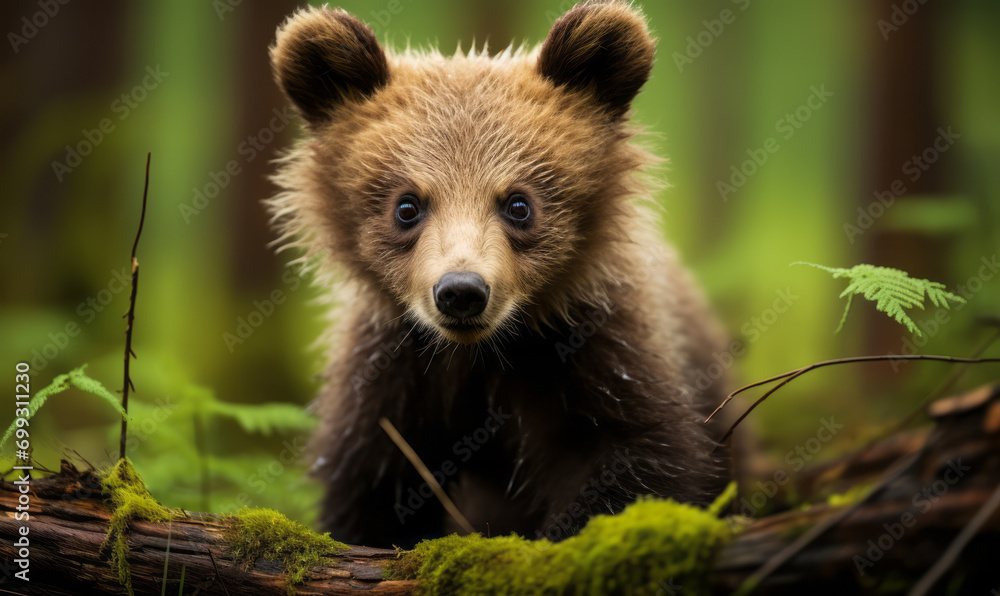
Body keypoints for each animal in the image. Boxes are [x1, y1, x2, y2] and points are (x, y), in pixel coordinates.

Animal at [268, 0, 730, 548]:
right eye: (407, 205)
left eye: (518, 203)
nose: (461, 291)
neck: (483, 358)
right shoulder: (395, 377)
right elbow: (370, 493)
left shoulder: (595, 352)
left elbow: (635, 461)